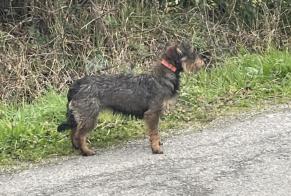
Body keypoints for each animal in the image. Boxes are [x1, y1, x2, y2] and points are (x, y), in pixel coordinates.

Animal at [57, 41, 208, 156]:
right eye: (192, 52)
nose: (203, 61)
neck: (163, 76)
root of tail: (75, 86)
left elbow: (156, 132)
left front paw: (158, 143)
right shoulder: (152, 113)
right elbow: (154, 132)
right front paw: (156, 148)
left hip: (81, 116)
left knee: (74, 131)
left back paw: (77, 148)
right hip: (90, 117)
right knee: (79, 135)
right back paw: (86, 151)